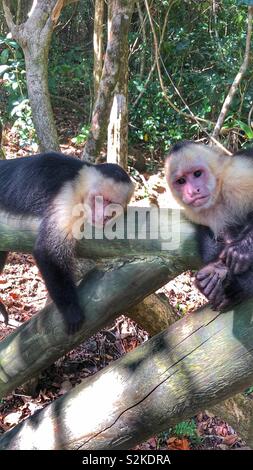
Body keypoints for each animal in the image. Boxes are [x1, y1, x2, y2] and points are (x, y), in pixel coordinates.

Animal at [0, 152, 134, 332]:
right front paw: (72, 311)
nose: (102, 216)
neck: (79, 179)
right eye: (101, 199)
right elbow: (48, 251)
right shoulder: (68, 196)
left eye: (113, 205)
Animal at [164, 140, 253, 312]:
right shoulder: (195, 212)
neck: (218, 193)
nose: (193, 191)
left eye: (197, 174)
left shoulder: (239, 177)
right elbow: (213, 234)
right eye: (181, 181)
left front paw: (242, 249)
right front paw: (215, 269)